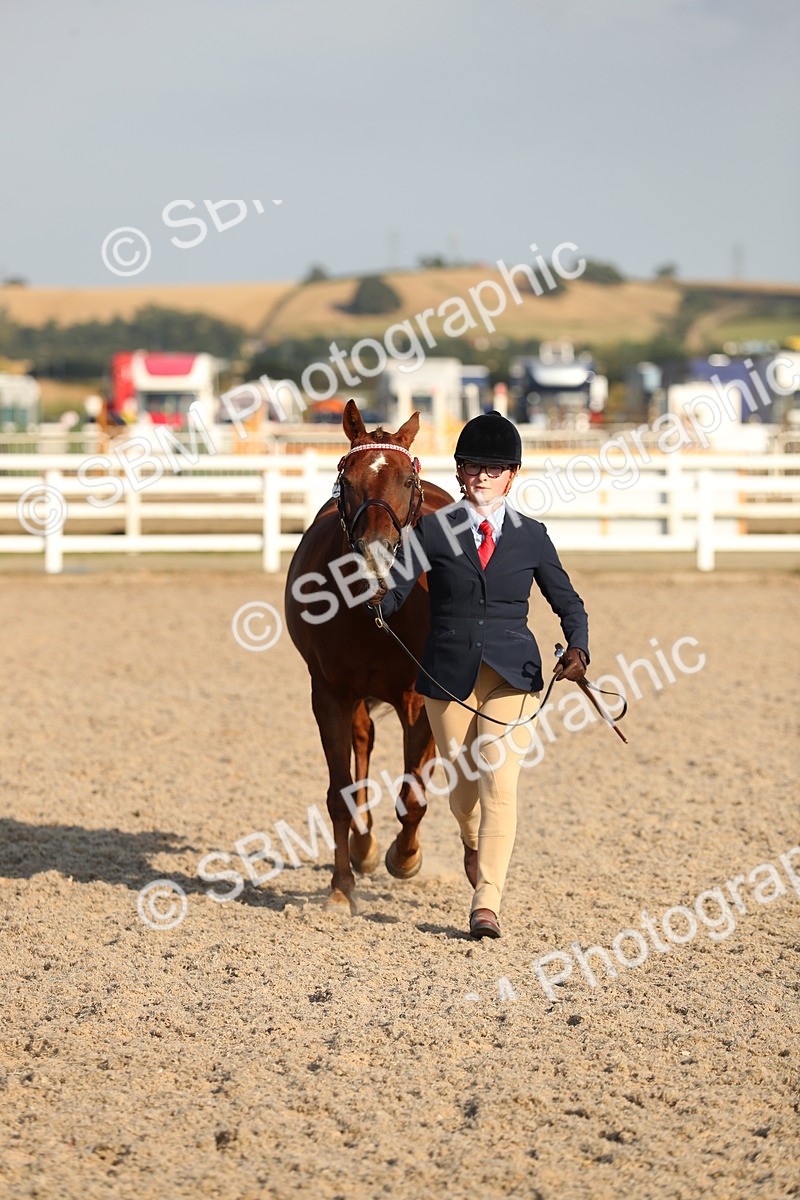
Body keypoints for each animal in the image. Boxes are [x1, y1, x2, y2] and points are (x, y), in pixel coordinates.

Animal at [284, 400, 453, 912]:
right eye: (348, 479)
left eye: (407, 480)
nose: (376, 553)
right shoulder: (330, 694)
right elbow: (340, 792)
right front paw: (342, 887)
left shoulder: (418, 697)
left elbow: (413, 796)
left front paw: (406, 857)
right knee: (364, 740)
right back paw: (363, 845)